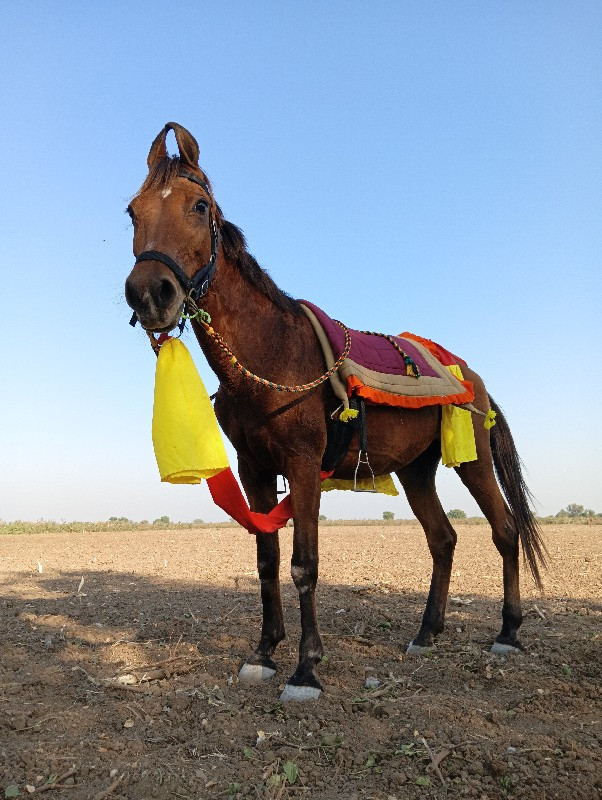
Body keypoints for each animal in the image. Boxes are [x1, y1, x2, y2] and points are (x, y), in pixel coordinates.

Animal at [124, 123, 548, 700]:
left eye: (199, 206)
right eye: (132, 212)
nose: (149, 293)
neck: (272, 351)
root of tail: (472, 376)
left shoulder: (304, 466)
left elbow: (304, 564)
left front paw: (307, 668)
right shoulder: (255, 470)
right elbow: (266, 561)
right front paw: (263, 653)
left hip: (474, 459)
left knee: (504, 532)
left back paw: (507, 632)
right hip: (416, 470)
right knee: (443, 539)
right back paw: (426, 633)